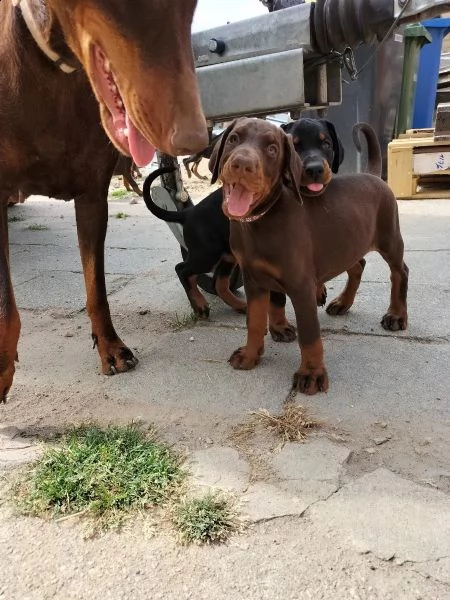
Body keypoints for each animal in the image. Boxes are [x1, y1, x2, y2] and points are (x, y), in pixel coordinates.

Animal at [0, 2, 207, 404]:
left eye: (192, 7)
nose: (193, 139)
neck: (53, 74)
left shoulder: (93, 195)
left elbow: (96, 286)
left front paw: (110, 347)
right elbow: (5, 307)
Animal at [211, 119, 408, 396]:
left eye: (272, 149)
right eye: (233, 139)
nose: (242, 164)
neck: (260, 220)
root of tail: (372, 175)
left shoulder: (300, 285)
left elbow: (309, 335)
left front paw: (311, 374)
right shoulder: (254, 279)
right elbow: (255, 320)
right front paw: (250, 355)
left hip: (389, 237)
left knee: (399, 272)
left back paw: (396, 315)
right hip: (347, 242)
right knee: (357, 265)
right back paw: (343, 303)